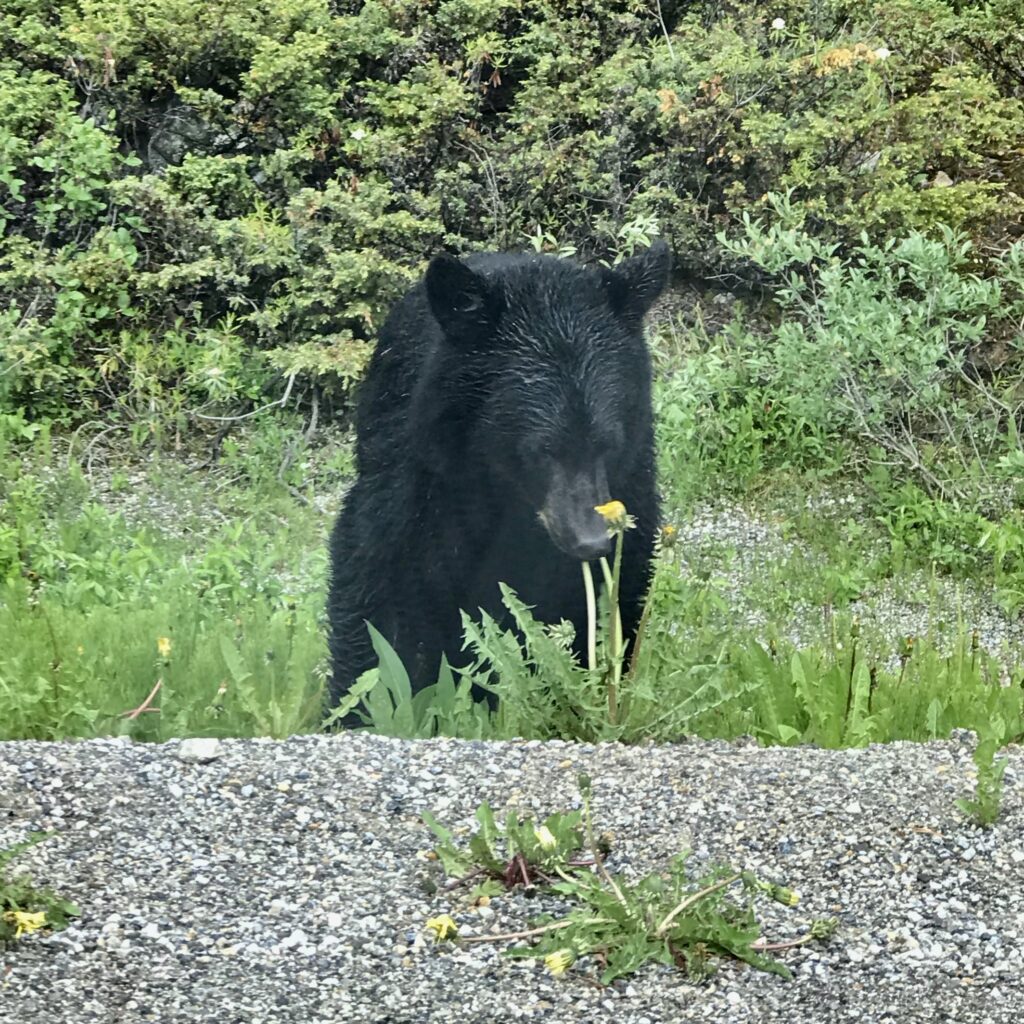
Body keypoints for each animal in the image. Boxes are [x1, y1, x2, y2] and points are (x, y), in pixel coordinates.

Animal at [327, 241, 671, 712]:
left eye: (608, 442)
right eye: (543, 449)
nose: (590, 541)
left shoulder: (631, 478)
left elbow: (619, 583)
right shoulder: (422, 473)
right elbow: (379, 578)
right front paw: (367, 705)